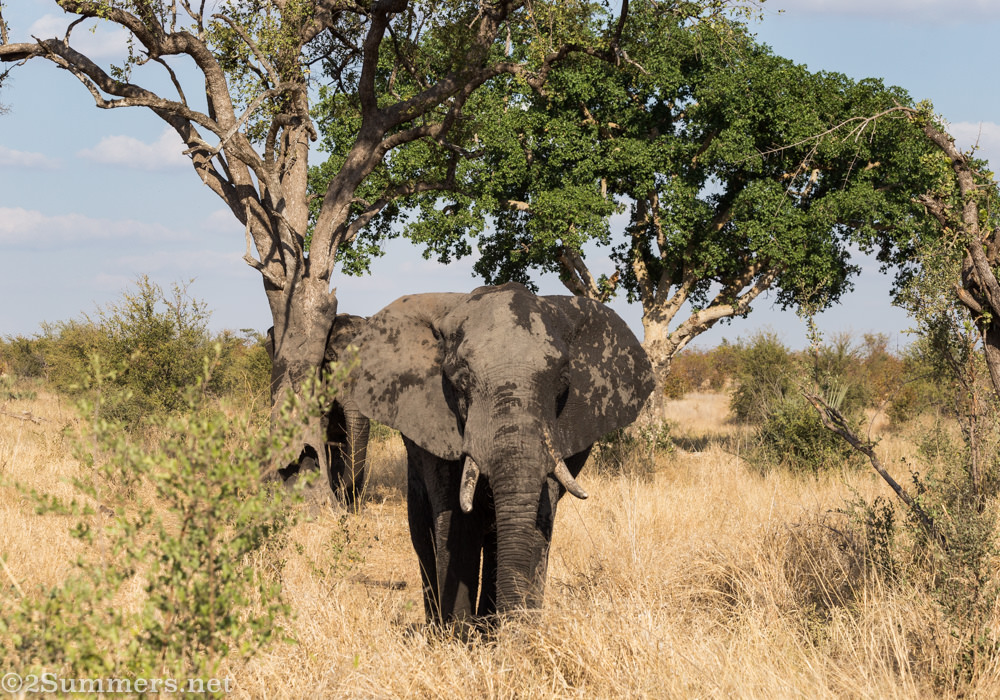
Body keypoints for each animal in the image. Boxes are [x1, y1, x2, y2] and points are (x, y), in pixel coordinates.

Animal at [352, 282, 654, 626]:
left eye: (563, 380)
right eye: (460, 380)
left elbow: (537, 516)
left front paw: (516, 635)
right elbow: (457, 522)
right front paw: (460, 636)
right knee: (423, 530)